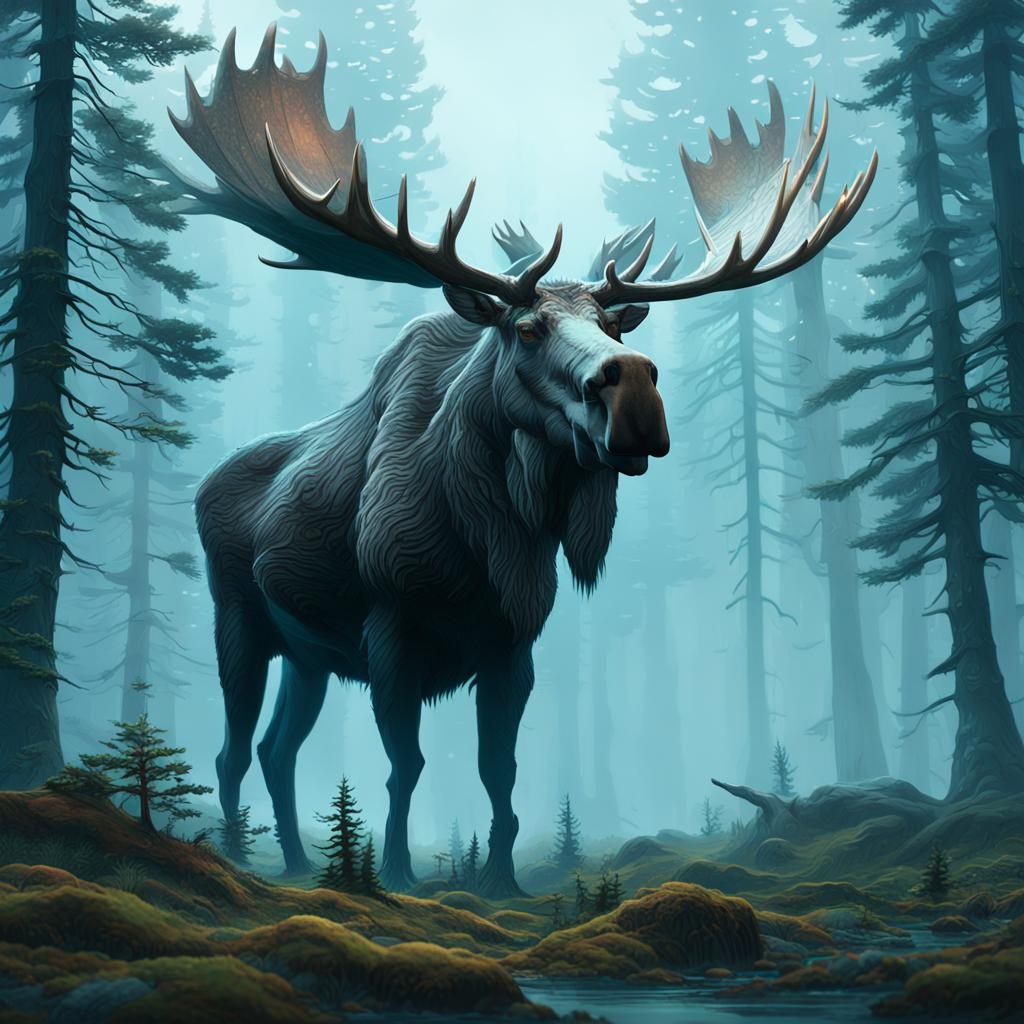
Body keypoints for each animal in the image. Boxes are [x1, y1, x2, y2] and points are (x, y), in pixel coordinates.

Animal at [168, 24, 876, 895]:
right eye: (527, 327)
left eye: (613, 323)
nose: (632, 386)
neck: (488, 532)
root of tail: (205, 484)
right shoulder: (390, 633)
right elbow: (407, 767)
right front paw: (396, 872)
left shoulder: (511, 646)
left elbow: (497, 771)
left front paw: (501, 879)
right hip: (239, 620)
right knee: (233, 749)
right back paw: (241, 857)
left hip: (308, 655)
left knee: (276, 748)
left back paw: (300, 861)